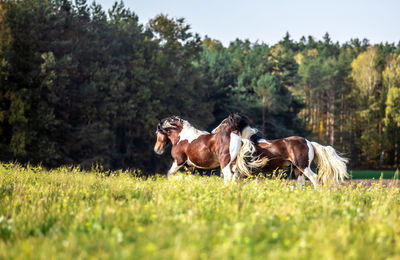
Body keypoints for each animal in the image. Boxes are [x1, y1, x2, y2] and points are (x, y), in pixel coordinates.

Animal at [212, 114, 350, 187]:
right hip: (297, 169)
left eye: (224, 123)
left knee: (315, 179)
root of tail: (309, 143)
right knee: (301, 183)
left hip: (303, 166)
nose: (213, 131)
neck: (248, 143)